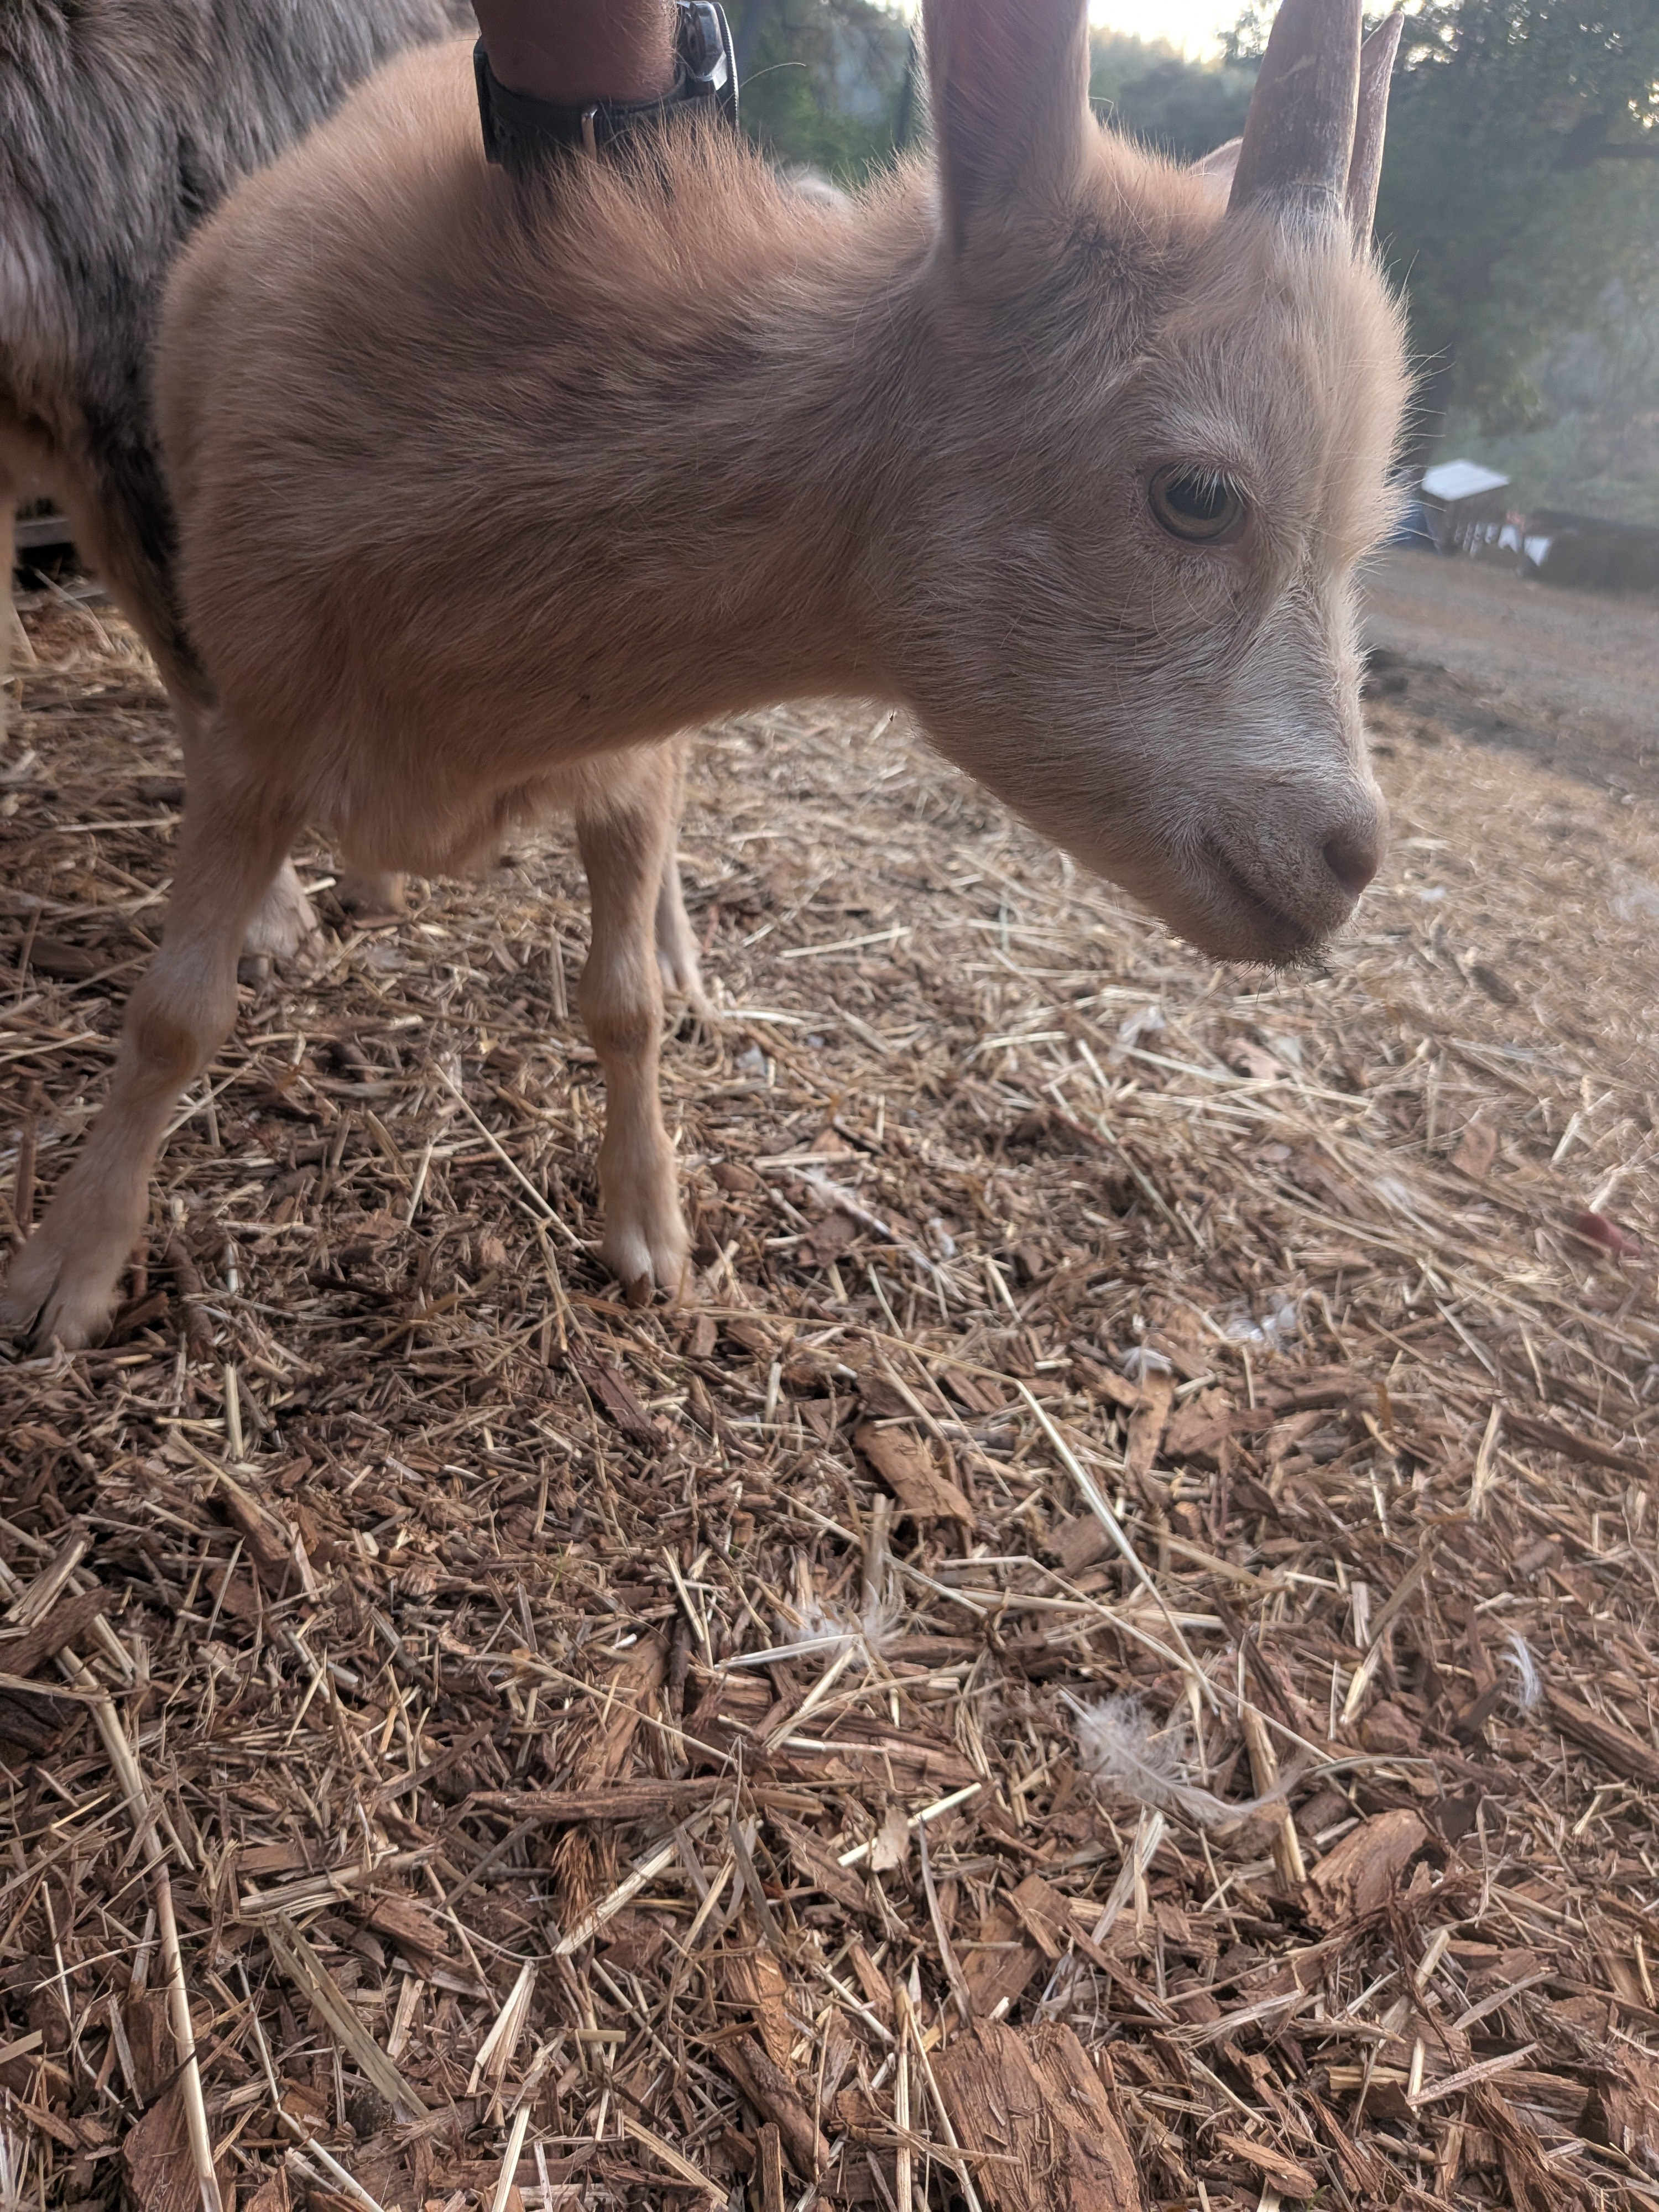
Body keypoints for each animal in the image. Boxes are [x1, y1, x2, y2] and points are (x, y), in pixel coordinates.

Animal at [2, 0, 1411, 1350]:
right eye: (1197, 495)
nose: (1351, 859)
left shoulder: (626, 758)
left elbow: (620, 1004)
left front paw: (649, 1227)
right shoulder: (259, 727)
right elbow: (175, 1011)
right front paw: (67, 1268)